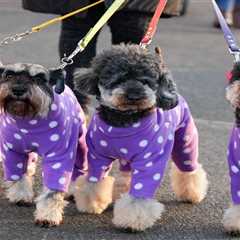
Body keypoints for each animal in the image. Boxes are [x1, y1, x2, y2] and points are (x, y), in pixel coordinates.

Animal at [0, 63, 87, 227]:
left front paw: (47, 216)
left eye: (39, 78)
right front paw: (20, 196)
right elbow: (17, 175)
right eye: (9, 75)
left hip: (81, 144)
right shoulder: (12, 152)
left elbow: (52, 190)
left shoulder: (59, 156)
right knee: (29, 165)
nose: (18, 90)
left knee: (79, 169)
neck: (28, 120)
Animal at [73, 44, 208, 232]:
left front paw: (132, 220)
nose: (134, 96)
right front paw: (91, 204)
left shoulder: (149, 161)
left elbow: (139, 196)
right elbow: (93, 182)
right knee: (126, 174)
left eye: (146, 81)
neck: (123, 121)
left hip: (186, 141)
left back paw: (192, 194)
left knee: (189, 169)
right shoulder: (97, 157)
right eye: (119, 78)